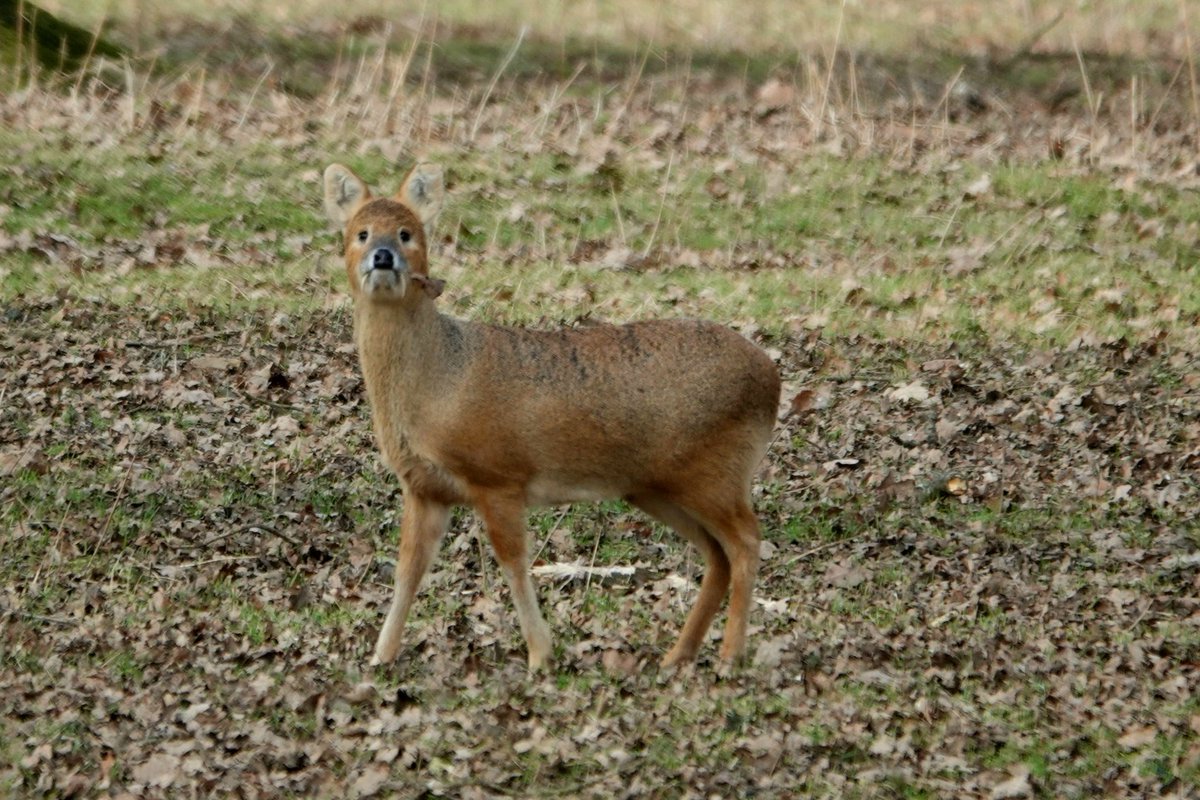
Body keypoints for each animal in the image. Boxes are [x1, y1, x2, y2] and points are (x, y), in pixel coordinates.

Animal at [322, 161, 781, 672]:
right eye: (360, 232)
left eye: (407, 233)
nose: (383, 256)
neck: (438, 384)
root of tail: (772, 379)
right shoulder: (424, 488)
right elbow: (408, 569)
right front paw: (381, 656)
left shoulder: (499, 475)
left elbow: (513, 563)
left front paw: (540, 653)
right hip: (658, 487)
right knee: (718, 554)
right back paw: (678, 655)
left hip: (716, 473)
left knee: (746, 541)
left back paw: (730, 655)